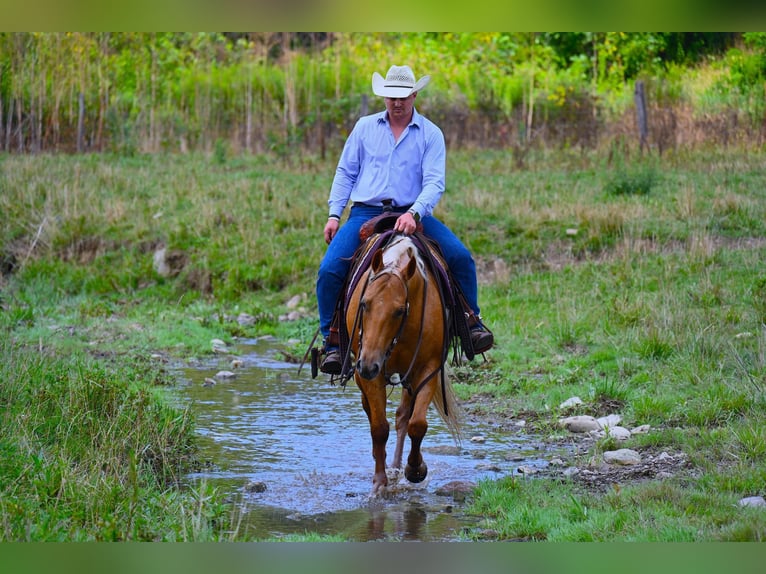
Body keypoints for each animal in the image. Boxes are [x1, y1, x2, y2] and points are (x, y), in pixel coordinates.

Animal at [346, 234, 462, 496]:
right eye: (364, 303)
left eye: (399, 311)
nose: (367, 365)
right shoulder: (373, 374)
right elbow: (379, 427)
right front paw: (379, 483)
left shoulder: (428, 369)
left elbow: (416, 424)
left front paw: (416, 470)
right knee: (374, 412)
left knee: (403, 417)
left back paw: (399, 466)